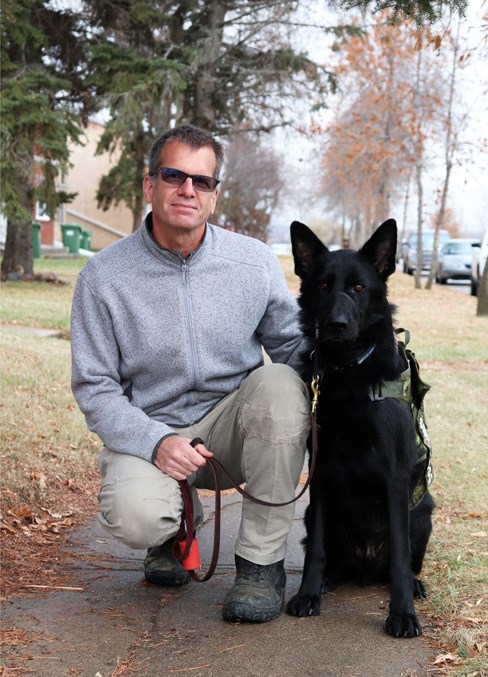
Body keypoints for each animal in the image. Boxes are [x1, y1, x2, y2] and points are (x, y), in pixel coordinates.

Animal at [286, 219, 434, 636]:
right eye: (323, 285)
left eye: (358, 288)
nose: (335, 325)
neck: (348, 369)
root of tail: (366, 565)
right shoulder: (320, 472)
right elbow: (316, 550)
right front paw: (308, 593)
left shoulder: (394, 477)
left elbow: (399, 558)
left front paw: (402, 614)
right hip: (313, 515)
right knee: (329, 554)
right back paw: (329, 579)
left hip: (423, 512)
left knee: (403, 563)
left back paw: (415, 587)